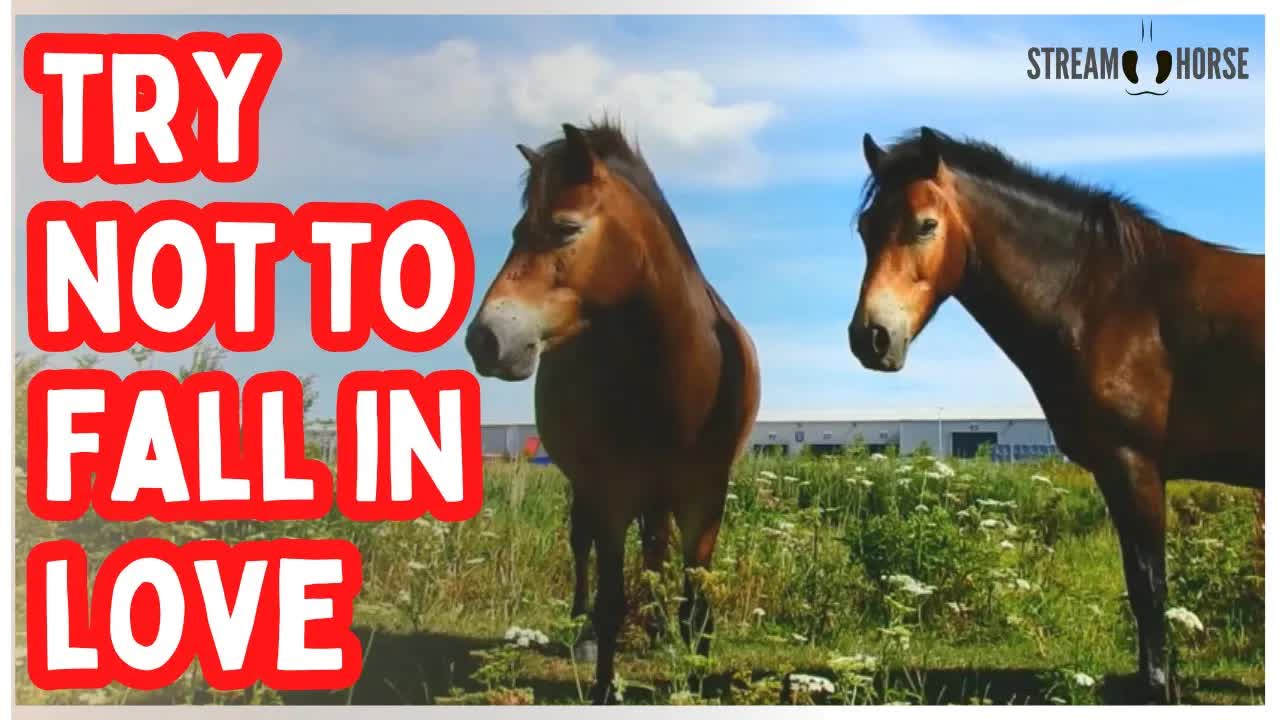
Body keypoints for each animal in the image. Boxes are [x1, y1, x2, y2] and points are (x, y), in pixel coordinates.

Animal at [465, 120, 761, 704]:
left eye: (565, 228)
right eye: (515, 231)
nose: (485, 339)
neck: (677, 373)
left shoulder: (705, 494)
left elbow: (695, 598)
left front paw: (693, 670)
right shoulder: (613, 490)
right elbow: (610, 597)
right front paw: (604, 683)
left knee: (655, 553)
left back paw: (658, 629)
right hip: (589, 485)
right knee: (584, 548)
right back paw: (586, 635)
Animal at [848, 127, 1263, 703]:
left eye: (925, 224)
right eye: (866, 228)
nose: (871, 337)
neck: (1113, 301)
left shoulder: (1134, 468)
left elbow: (1149, 585)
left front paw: (1156, 686)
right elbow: (1139, 582)